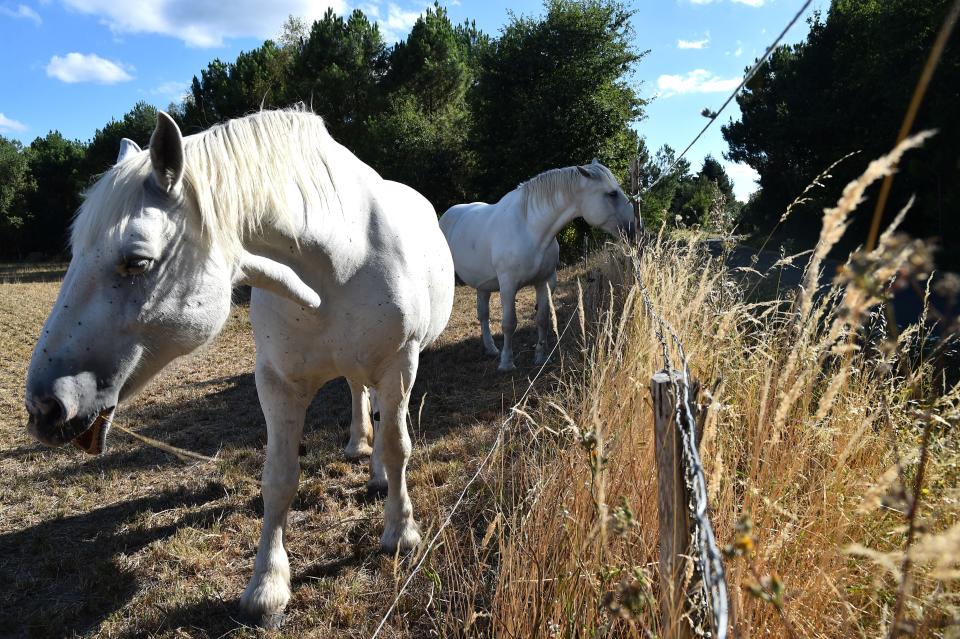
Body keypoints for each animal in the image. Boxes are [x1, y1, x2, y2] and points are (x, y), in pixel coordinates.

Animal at [23, 110, 454, 632]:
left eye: (137, 261)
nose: (44, 407)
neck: (340, 264)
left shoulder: (400, 364)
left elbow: (397, 447)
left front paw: (401, 533)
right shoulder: (277, 382)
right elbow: (279, 478)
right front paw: (267, 589)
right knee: (358, 395)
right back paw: (360, 453)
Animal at [440, 159, 636, 370]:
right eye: (612, 194)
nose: (634, 228)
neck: (530, 229)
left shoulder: (545, 282)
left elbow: (542, 319)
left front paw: (541, 357)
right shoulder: (508, 286)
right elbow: (509, 323)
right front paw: (507, 363)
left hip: (482, 284)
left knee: (483, 315)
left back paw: (491, 349)